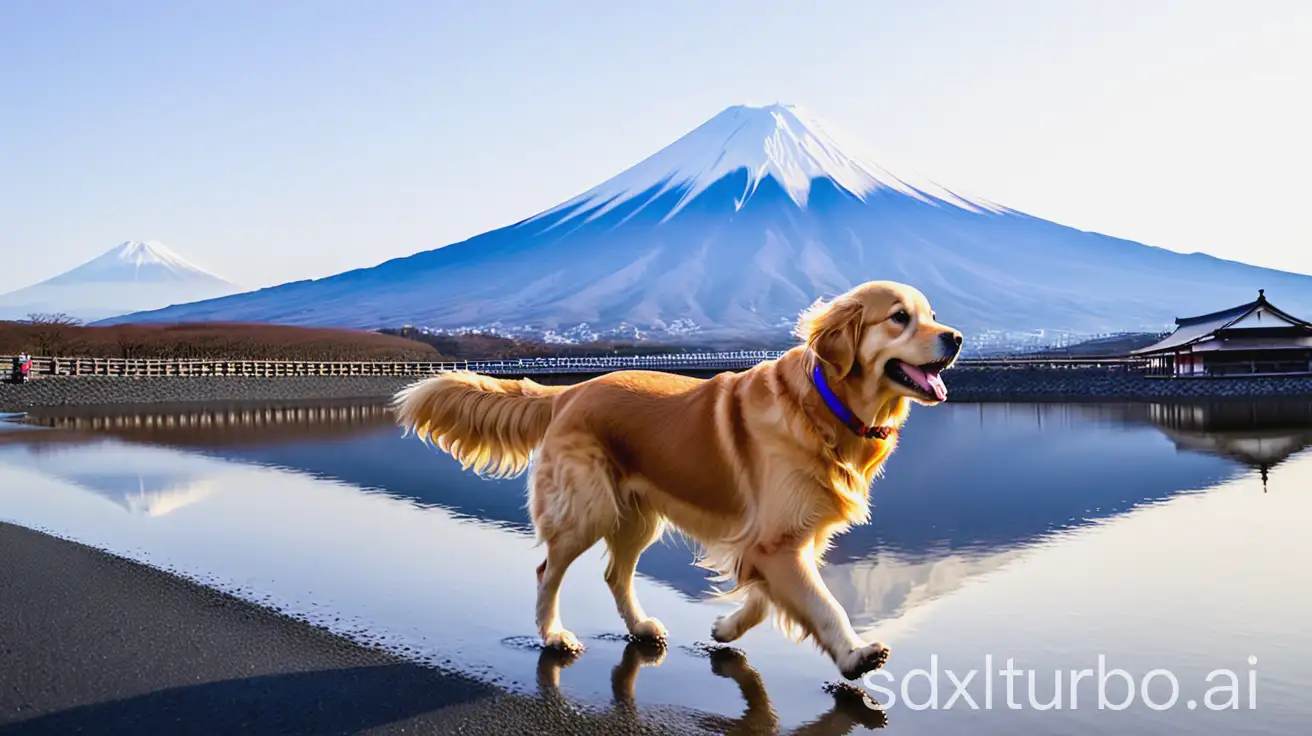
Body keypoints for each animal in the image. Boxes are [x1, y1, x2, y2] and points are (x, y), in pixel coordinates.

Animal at [390, 279, 965, 676]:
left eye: (934, 316)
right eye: (899, 318)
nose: (957, 337)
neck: (827, 405)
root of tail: (569, 391)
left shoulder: (784, 539)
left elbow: (766, 597)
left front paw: (727, 627)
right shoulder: (778, 540)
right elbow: (825, 605)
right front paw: (854, 654)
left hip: (637, 515)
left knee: (614, 575)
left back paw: (640, 626)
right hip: (587, 509)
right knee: (546, 572)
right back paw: (553, 635)